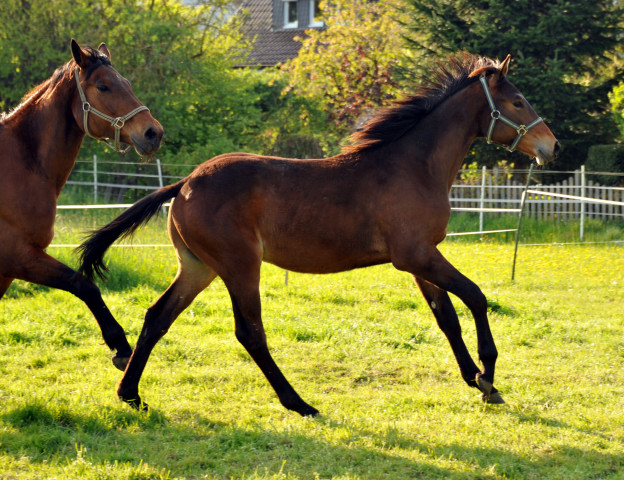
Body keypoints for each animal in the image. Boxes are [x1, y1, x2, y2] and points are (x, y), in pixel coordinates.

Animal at [0, 40, 163, 372]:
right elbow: (84, 284)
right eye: (103, 86)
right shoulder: (18, 256)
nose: (153, 133)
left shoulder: (9, 267)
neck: (21, 164)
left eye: (127, 83)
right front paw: (121, 346)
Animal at [79, 53, 560, 416]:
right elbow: (476, 297)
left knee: (157, 317)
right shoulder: (417, 255)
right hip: (239, 267)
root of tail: (185, 183)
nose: (551, 146)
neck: (412, 166)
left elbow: (446, 317)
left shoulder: (421, 260)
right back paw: (299, 403)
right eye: (518, 102)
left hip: (198, 268)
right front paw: (489, 377)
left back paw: (130, 394)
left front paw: (474, 379)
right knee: (249, 332)